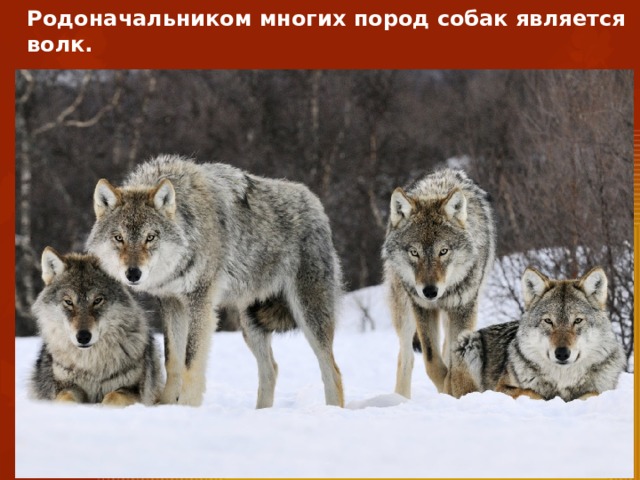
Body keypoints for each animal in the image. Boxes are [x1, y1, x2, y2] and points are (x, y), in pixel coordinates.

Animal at [29, 247, 163, 406]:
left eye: (97, 300)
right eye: (68, 302)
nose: (83, 337)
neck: (91, 366)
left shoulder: (134, 390)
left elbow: (113, 397)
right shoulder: (65, 386)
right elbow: (66, 398)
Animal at [86, 155, 344, 408]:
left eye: (150, 237)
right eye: (119, 238)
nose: (133, 274)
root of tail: (315, 202)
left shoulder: (200, 302)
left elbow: (191, 362)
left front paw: (187, 407)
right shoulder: (171, 303)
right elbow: (173, 360)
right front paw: (166, 405)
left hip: (308, 315)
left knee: (332, 370)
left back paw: (332, 410)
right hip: (250, 324)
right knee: (271, 369)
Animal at [382, 168, 495, 398]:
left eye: (443, 251)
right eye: (414, 252)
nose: (430, 291)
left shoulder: (464, 308)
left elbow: (454, 360)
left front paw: (455, 391)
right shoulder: (423, 308)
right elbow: (432, 361)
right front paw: (446, 389)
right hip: (404, 312)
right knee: (406, 357)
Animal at [455, 267, 626, 401]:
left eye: (577, 320)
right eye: (548, 321)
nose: (562, 353)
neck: (562, 380)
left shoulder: (603, 390)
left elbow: (593, 393)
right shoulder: (501, 388)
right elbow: (532, 392)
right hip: (469, 342)